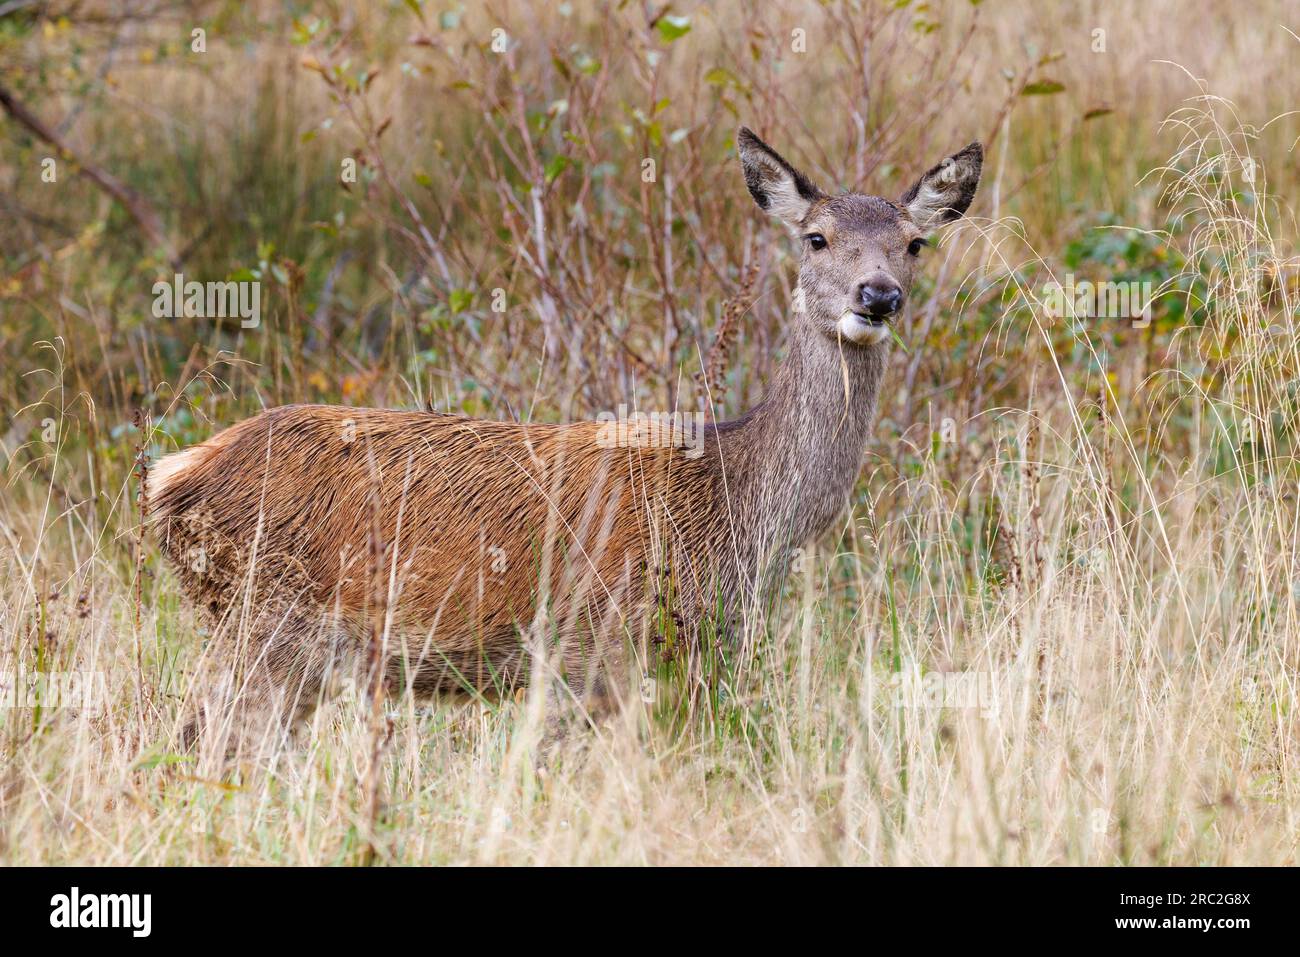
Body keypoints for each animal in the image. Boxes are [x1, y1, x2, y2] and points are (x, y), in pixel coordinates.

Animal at [145, 127, 982, 752]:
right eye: (815, 237)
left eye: (914, 244)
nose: (878, 295)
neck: (739, 508)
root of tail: (170, 476)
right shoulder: (593, 644)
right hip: (266, 619)